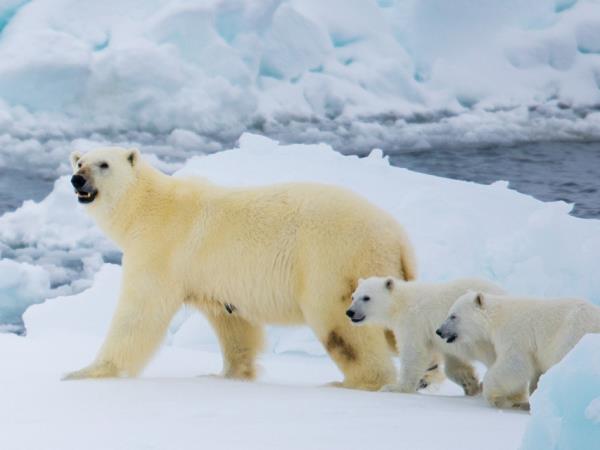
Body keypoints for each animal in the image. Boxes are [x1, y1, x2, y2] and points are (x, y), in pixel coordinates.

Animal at [63, 148, 414, 390]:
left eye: (104, 164)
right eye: (79, 162)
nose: (77, 179)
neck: (145, 207)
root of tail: (397, 236)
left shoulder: (161, 248)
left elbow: (139, 313)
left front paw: (86, 372)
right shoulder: (211, 277)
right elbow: (231, 322)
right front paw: (228, 374)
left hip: (334, 261)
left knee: (340, 326)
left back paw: (352, 381)